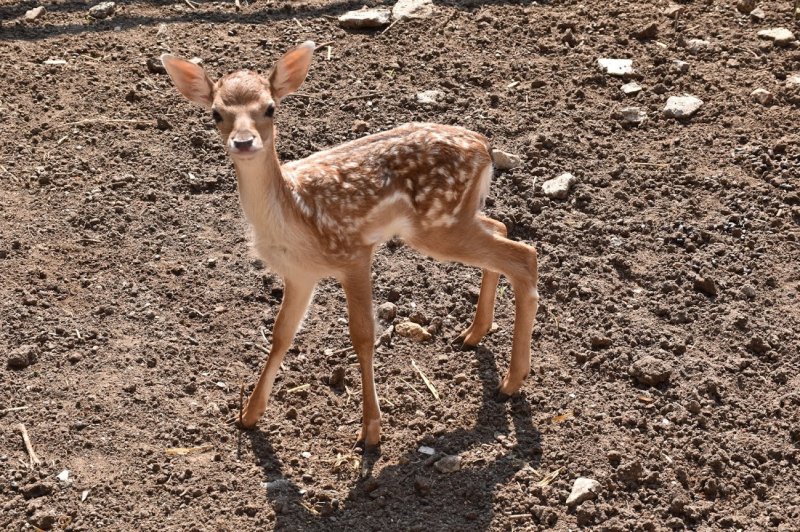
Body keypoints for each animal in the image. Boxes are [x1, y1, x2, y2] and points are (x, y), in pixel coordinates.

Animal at [159, 39, 540, 450]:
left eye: (270, 108)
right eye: (216, 113)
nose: (243, 142)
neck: (295, 214)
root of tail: (485, 146)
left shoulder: (354, 253)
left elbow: (362, 335)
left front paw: (371, 430)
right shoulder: (299, 274)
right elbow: (281, 334)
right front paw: (248, 415)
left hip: (438, 225)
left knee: (524, 255)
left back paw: (511, 381)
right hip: (453, 219)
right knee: (501, 228)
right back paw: (473, 334)